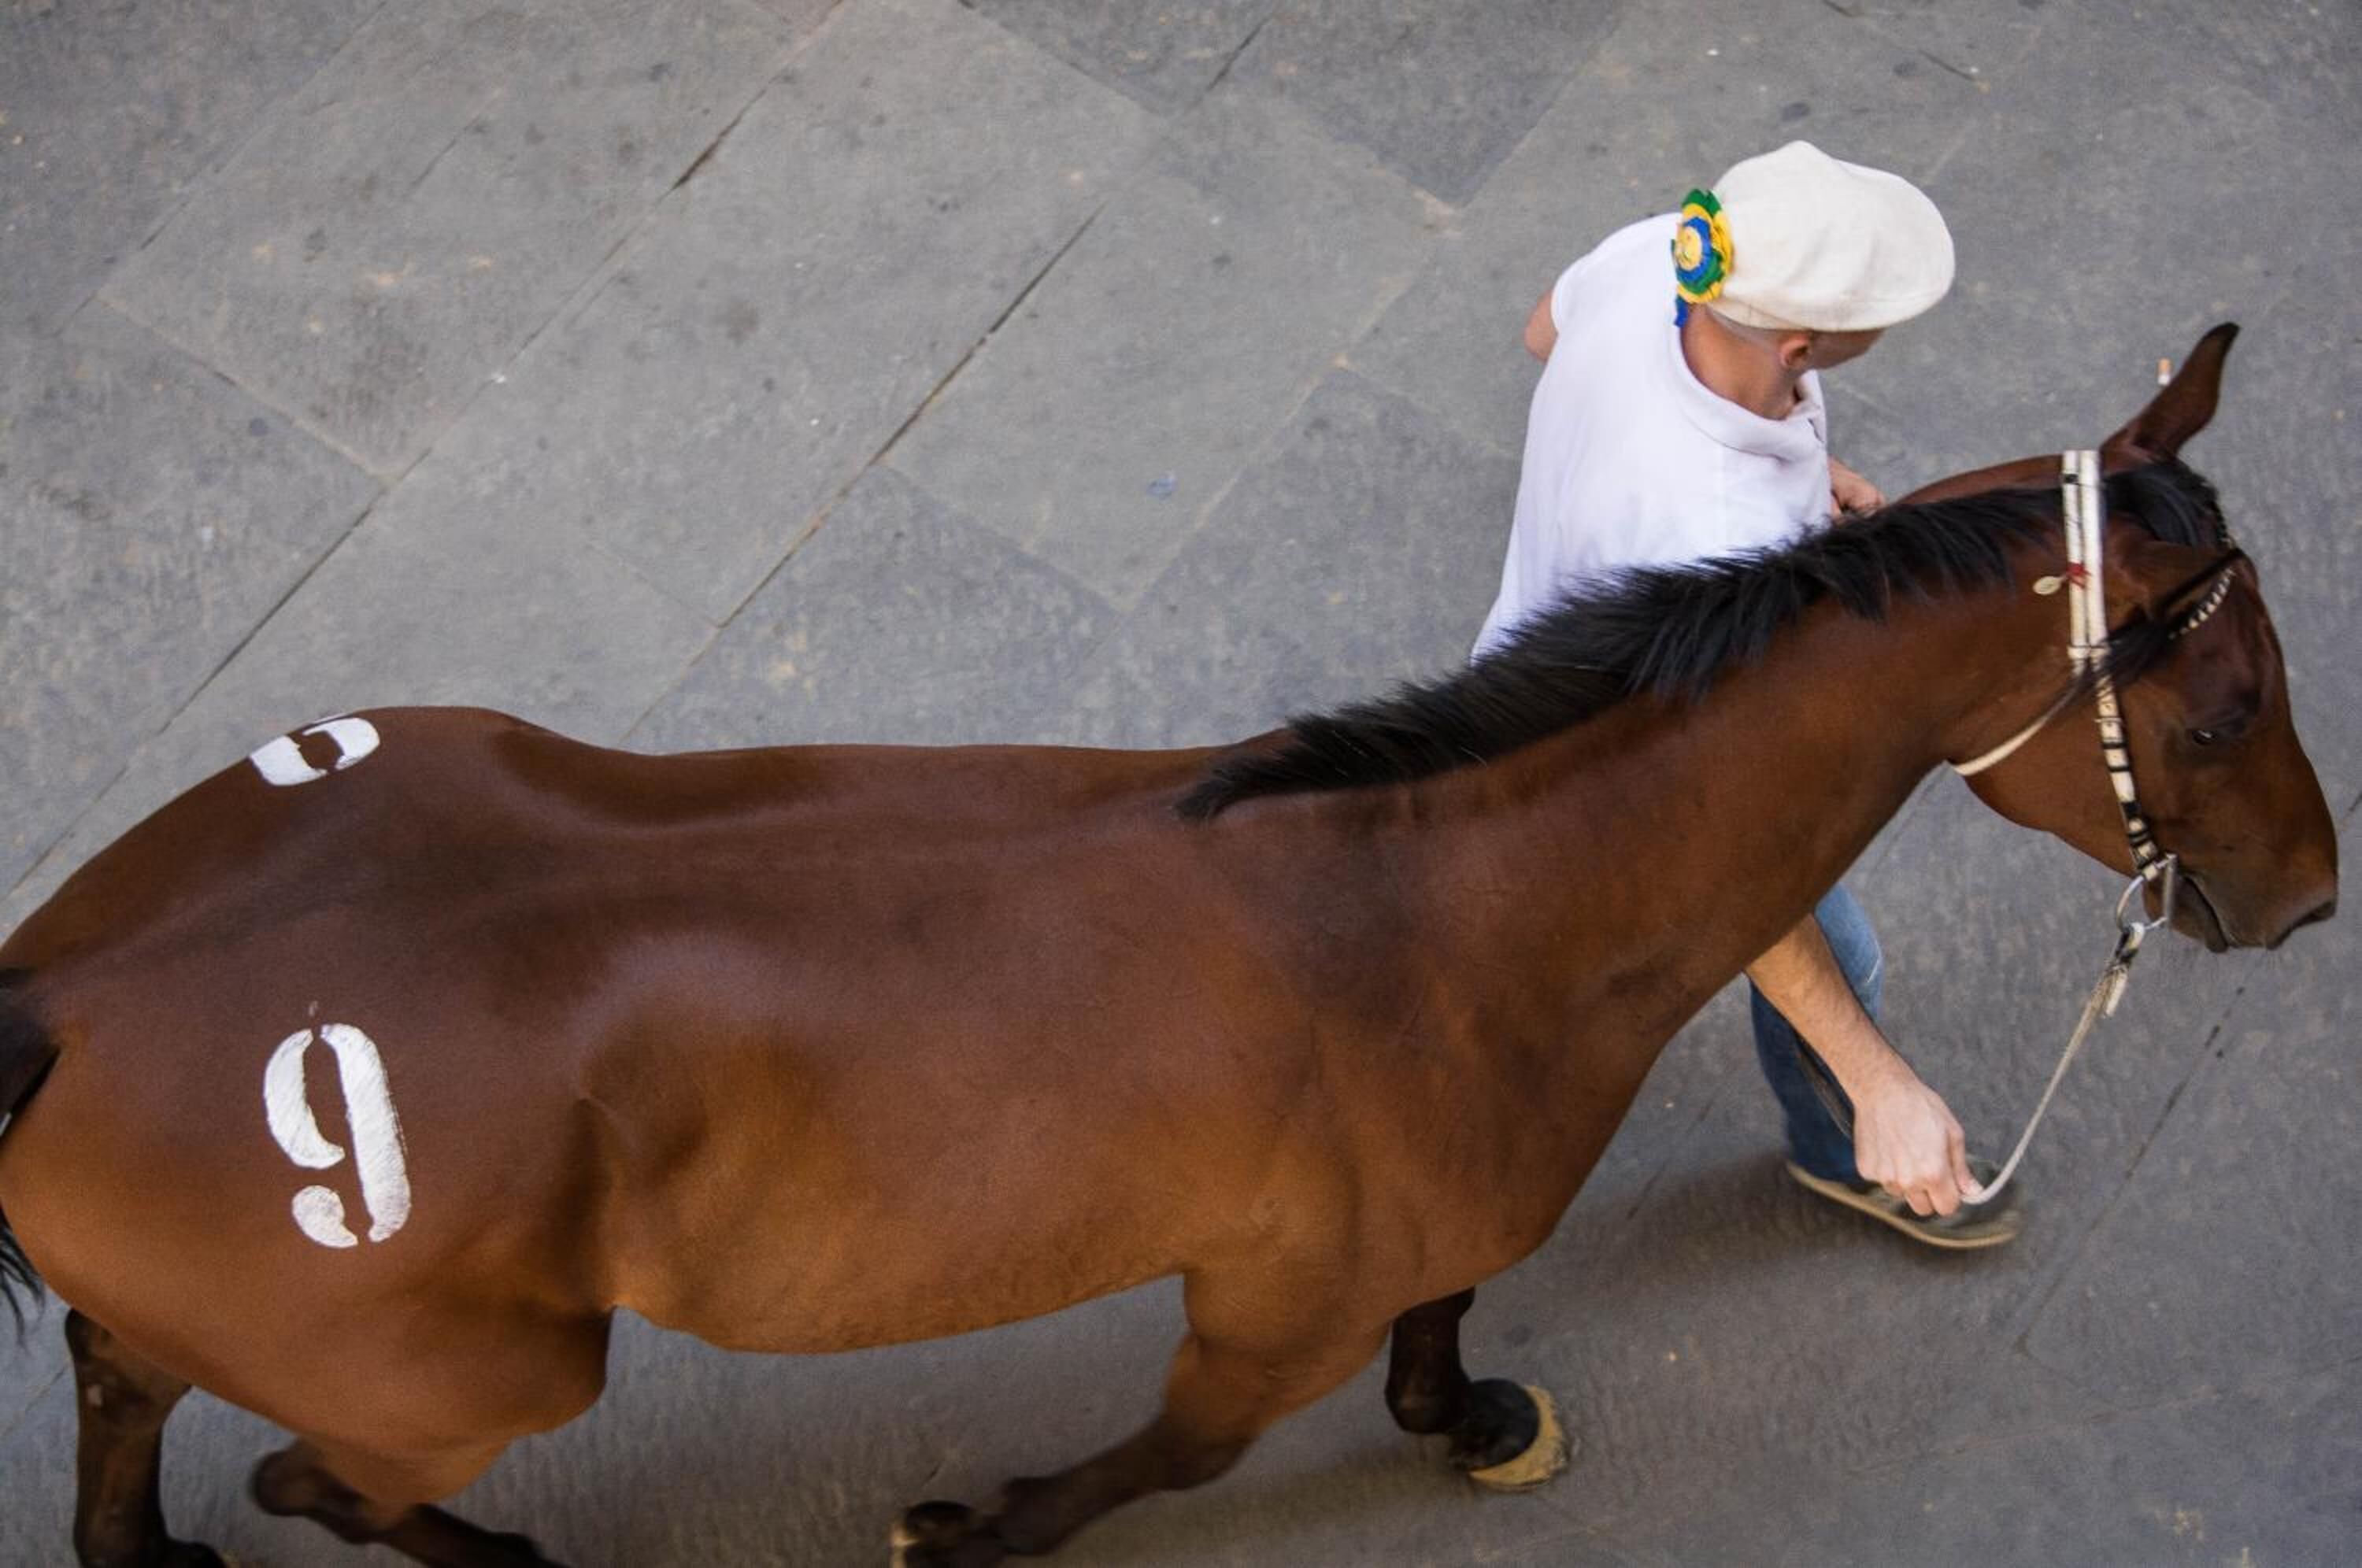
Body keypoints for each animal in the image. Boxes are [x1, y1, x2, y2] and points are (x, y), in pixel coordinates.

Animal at [0, 324, 2335, 1567]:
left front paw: (1465, 1414)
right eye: (2225, 706)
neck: (1450, 909)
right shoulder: (1262, 1294)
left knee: (127, 1383)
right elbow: (1183, 1446)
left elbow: (1440, 1313)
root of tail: (81, 999)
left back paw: (139, 1539)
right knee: (314, 1467)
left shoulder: (1419, 1214)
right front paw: (968, 1526)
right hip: (484, 1376)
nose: (2312, 899)